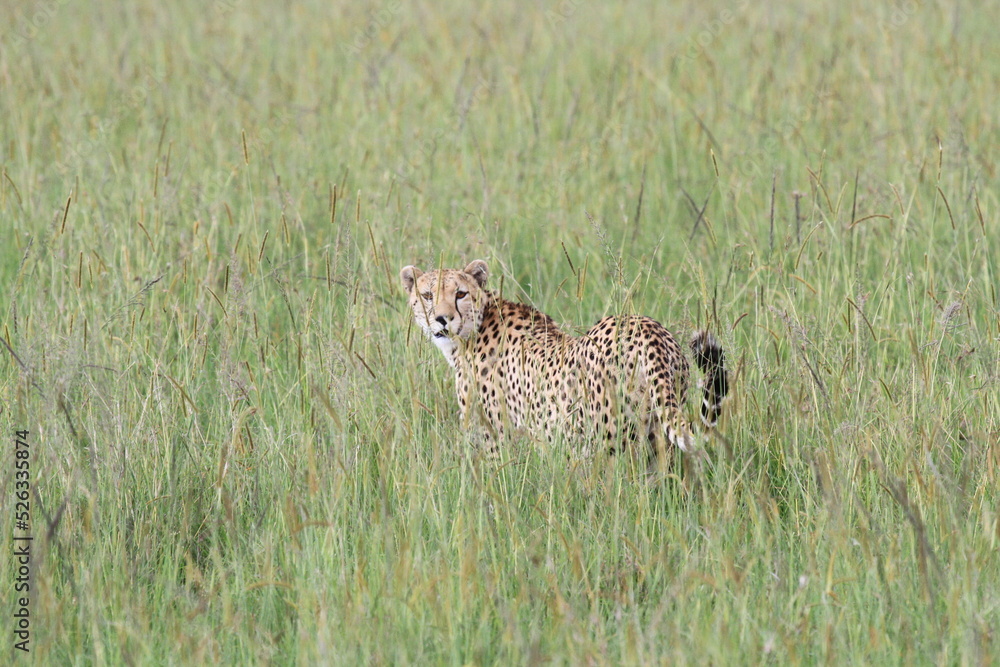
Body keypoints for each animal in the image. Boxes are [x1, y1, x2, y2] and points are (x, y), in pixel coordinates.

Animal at [400, 259, 728, 464]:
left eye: (460, 293)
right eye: (427, 295)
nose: (442, 319)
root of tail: (647, 328)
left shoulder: (496, 436)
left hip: (607, 442)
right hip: (657, 434)